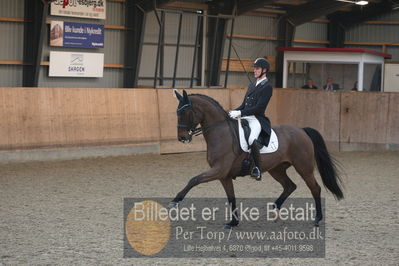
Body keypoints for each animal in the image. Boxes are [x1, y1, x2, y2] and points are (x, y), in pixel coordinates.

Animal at [170, 89, 342, 227]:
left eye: (185, 113)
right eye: (177, 113)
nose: (182, 138)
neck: (221, 132)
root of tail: (302, 130)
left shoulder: (219, 170)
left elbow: (194, 180)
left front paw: (175, 201)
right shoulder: (224, 175)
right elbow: (231, 197)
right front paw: (233, 222)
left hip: (304, 168)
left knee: (315, 188)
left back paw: (317, 219)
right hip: (277, 169)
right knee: (290, 186)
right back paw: (274, 209)